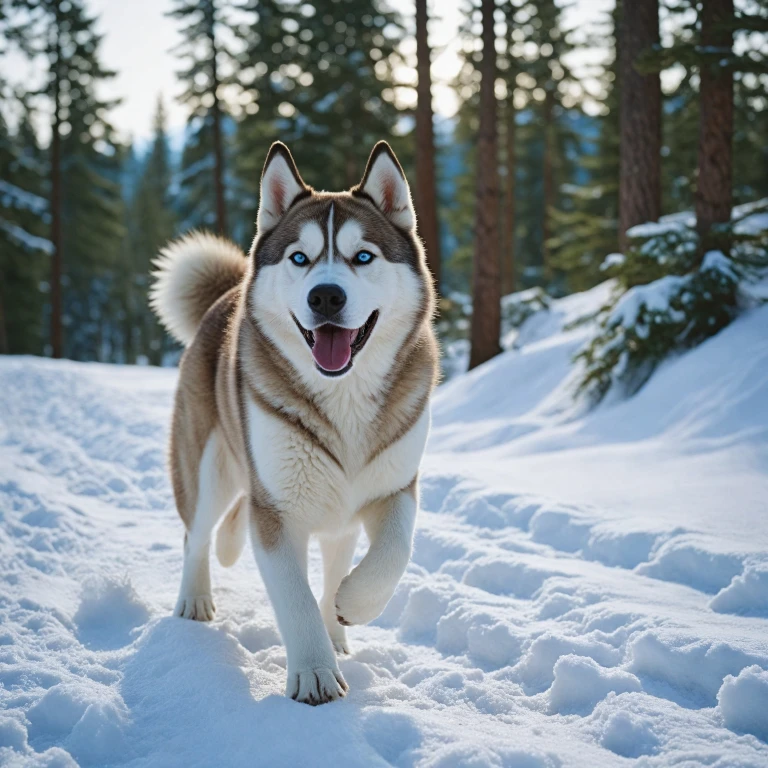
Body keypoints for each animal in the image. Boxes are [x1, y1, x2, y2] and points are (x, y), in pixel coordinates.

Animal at [150, 141, 438, 704]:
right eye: (299, 258)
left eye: (363, 256)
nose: (325, 296)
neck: (343, 398)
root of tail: (229, 290)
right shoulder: (277, 511)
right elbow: (295, 598)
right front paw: (315, 674)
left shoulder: (393, 487)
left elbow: (395, 550)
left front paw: (353, 605)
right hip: (209, 468)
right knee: (197, 533)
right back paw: (194, 599)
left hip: (332, 510)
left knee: (327, 559)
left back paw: (337, 627)